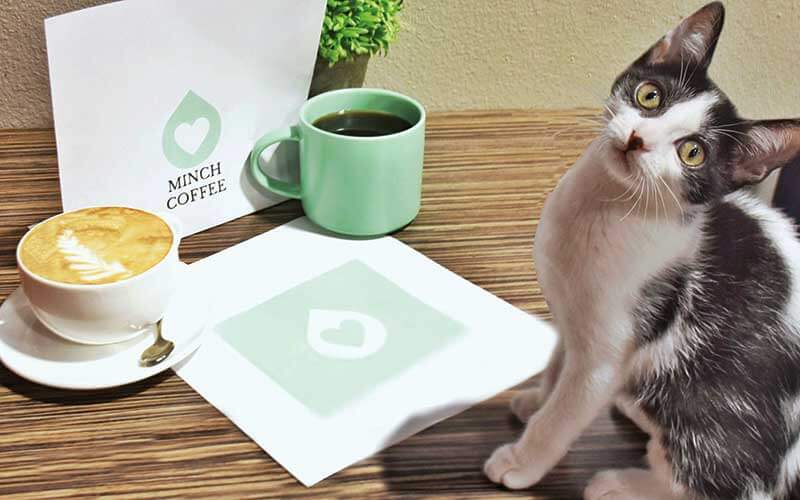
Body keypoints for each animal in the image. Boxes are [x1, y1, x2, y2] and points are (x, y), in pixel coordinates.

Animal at [482, 3, 800, 500]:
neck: (602, 207)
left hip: (709, 404)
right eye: (650, 96)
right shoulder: (574, 319)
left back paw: (619, 483)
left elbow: (565, 413)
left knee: (720, 485)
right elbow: (558, 364)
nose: (637, 139)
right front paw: (538, 398)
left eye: (693, 152)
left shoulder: (610, 350)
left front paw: (524, 457)